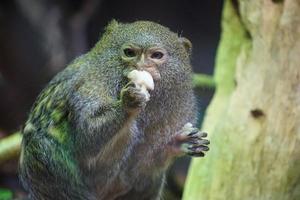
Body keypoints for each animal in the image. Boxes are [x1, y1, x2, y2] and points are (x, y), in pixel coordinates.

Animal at [18, 20, 210, 200]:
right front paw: (128, 103)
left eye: (156, 55)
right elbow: (87, 138)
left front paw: (179, 143)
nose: (141, 66)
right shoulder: (87, 85)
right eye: (129, 53)